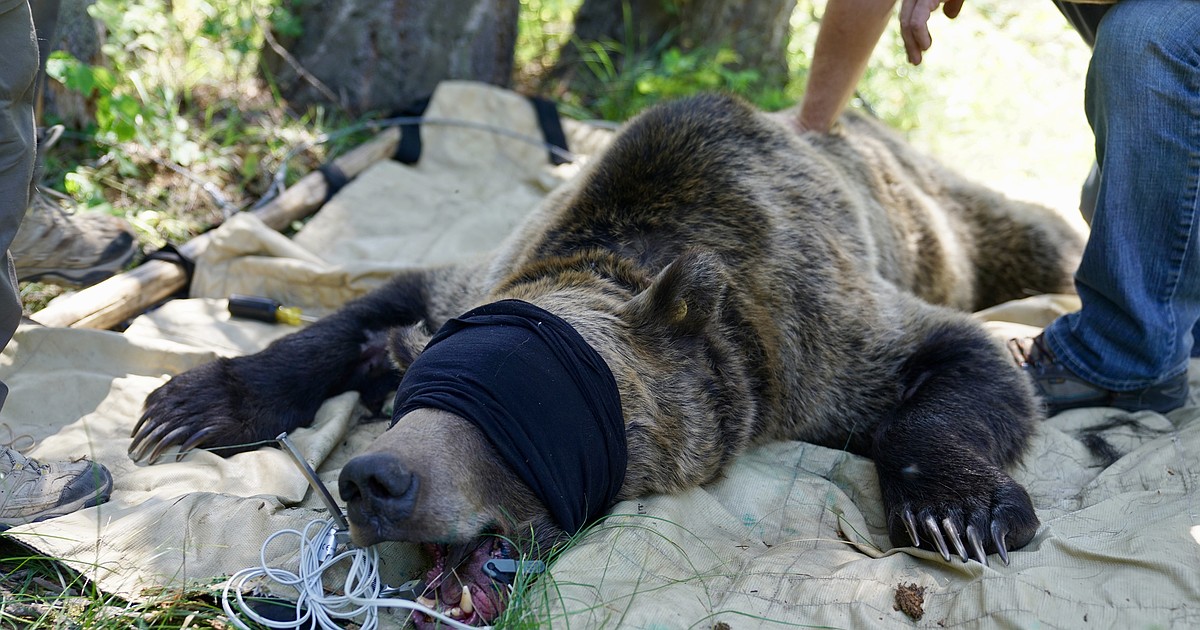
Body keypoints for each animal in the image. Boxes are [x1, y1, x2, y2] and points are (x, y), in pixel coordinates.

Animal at [131, 93, 1083, 626]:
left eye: (508, 414)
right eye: (420, 402)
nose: (375, 480)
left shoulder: (810, 331)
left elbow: (957, 360)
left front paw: (957, 511)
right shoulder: (486, 270)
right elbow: (368, 308)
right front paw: (190, 405)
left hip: (956, 214)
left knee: (1039, 236)